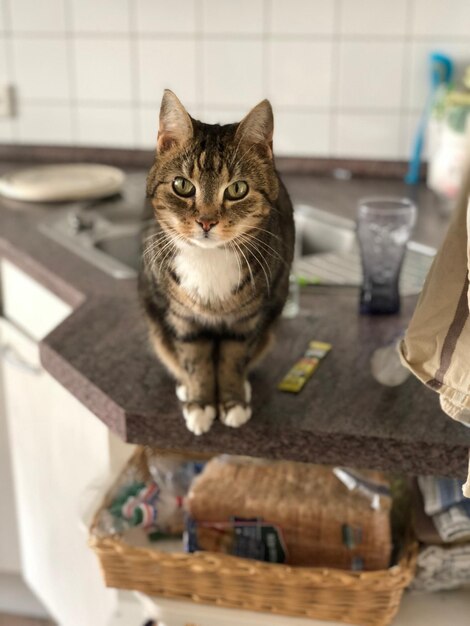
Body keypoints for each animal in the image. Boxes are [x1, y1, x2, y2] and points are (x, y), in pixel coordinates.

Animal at [139, 89, 294, 434]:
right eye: (182, 185)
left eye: (237, 189)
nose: (207, 221)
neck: (208, 260)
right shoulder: (183, 319)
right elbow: (195, 360)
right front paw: (200, 404)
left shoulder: (245, 321)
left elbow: (233, 360)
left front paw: (232, 401)